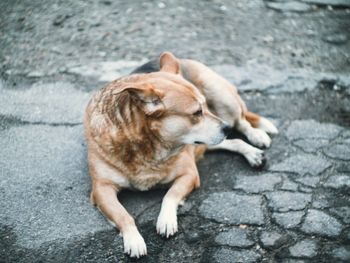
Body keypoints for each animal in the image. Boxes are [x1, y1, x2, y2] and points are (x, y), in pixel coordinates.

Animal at [83, 52, 278, 258]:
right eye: (197, 112)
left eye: (205, 106)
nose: (226, 128)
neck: (148, 145)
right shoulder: (102, 189)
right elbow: (123, 215)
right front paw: (134, 239)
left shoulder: (189, 174)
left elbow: (170, 195)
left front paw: (166, 220)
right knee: (234, 141)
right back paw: (251, 152)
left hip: (221, 96)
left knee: (242, 122)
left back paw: (256, 137)